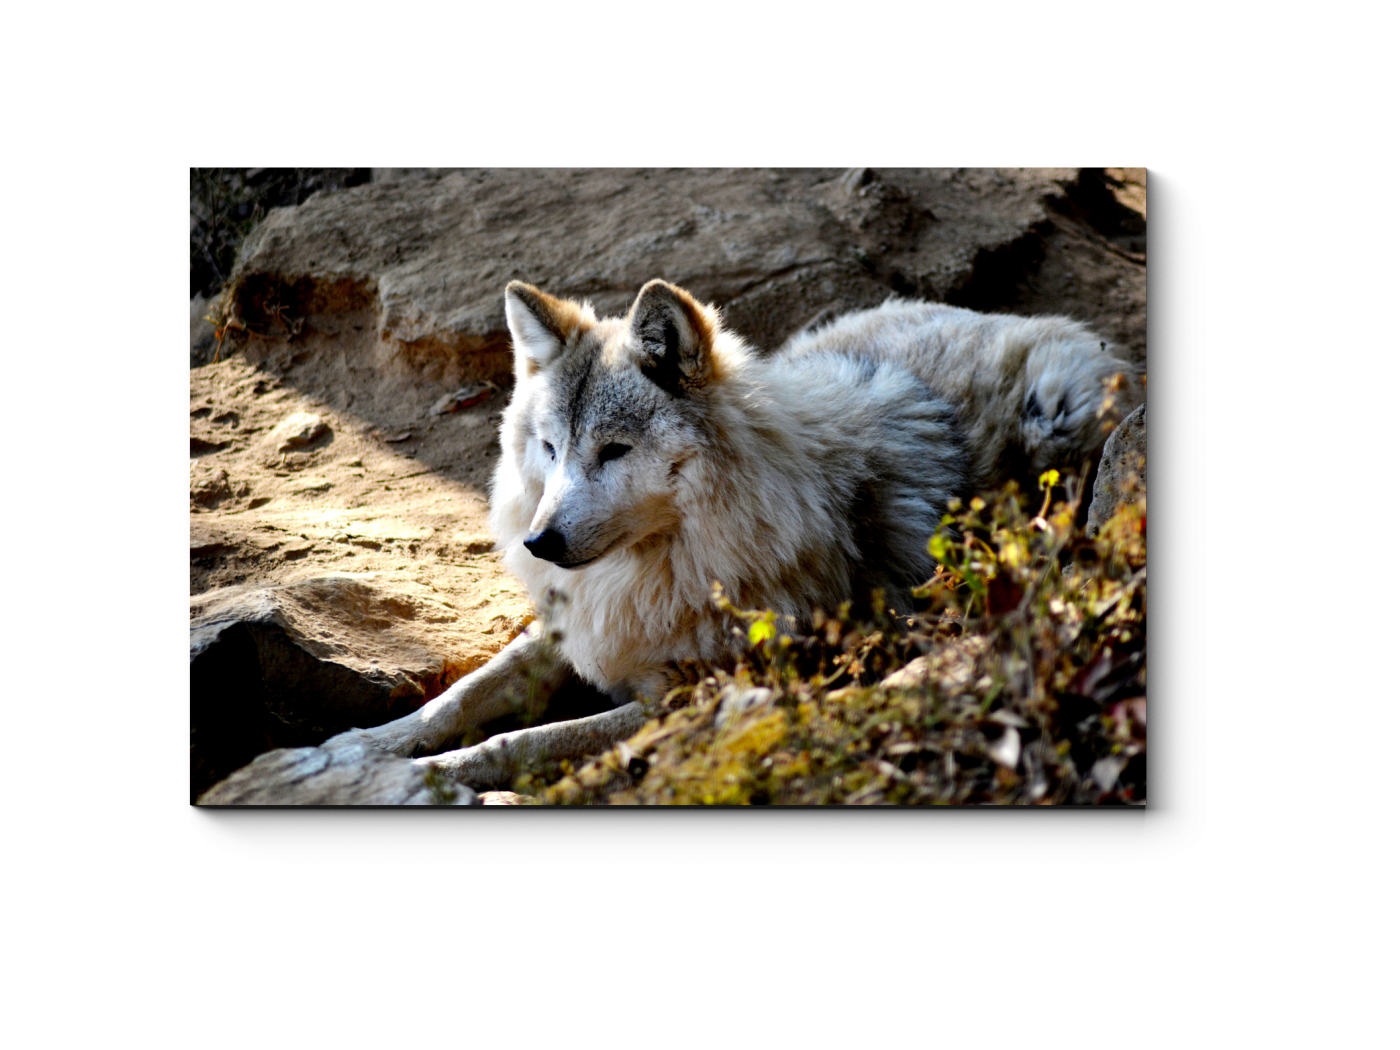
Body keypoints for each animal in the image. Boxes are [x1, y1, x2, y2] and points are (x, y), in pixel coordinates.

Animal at [344, 280, 1142, 789]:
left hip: (1056, 419)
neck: (667, 567)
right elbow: (464, 695)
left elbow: (519, 739)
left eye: (614, 451)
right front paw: (362, 747)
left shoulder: (688, 698)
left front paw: (429, 772)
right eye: (550, 449)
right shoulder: (584, 625)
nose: (540, 543)